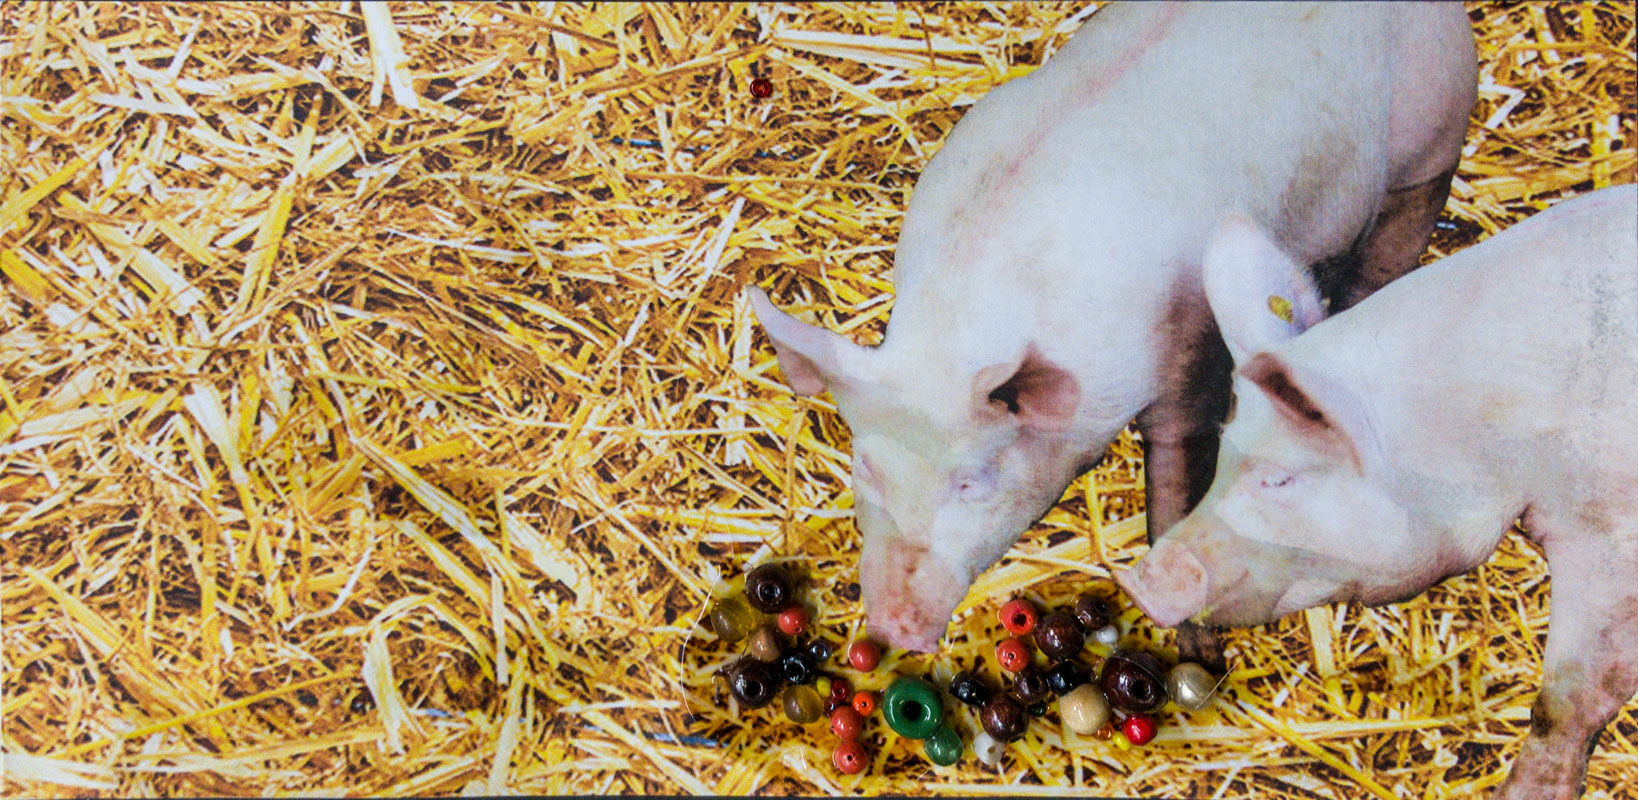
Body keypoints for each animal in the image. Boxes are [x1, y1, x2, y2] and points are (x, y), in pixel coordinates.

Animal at [743, 3, 1474, 659]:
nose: (891, 629)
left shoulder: (1186, 349)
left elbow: (1174, 469)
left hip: (1432, 131)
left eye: (972, 482)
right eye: (866, 464)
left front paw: (1199, 652)